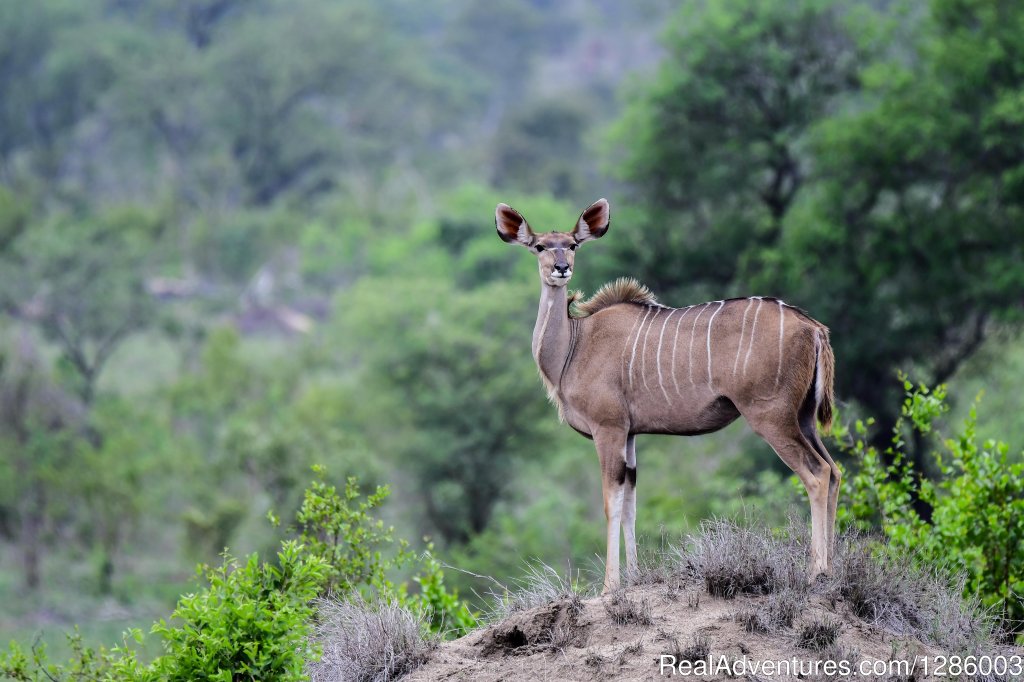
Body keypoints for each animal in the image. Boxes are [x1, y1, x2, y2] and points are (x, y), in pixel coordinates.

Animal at [495, 196, 839, 589]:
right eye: (540, 246)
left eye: (572, 245)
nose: (561, 268)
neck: (574, 345)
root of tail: (813, 328)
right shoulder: (630, 433)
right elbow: (630, 502)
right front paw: (633, 577)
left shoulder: (608, 428)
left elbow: (611, 501)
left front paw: (610, 585)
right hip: (804, 416)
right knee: (834, 471)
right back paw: (832, 568)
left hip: (771, 416)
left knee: (816, 474)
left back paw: (817, 571)